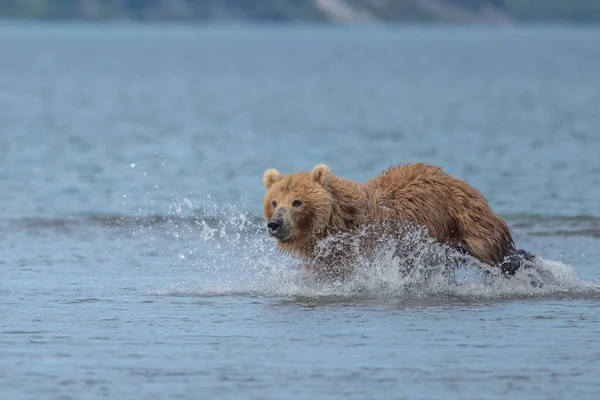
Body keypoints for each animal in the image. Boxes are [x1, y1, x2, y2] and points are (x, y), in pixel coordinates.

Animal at [260, 161, 532, 280]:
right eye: (274, 202)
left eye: (297, 202)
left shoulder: (370, 242)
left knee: (494, 251)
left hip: (466, 220)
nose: (275, 224)